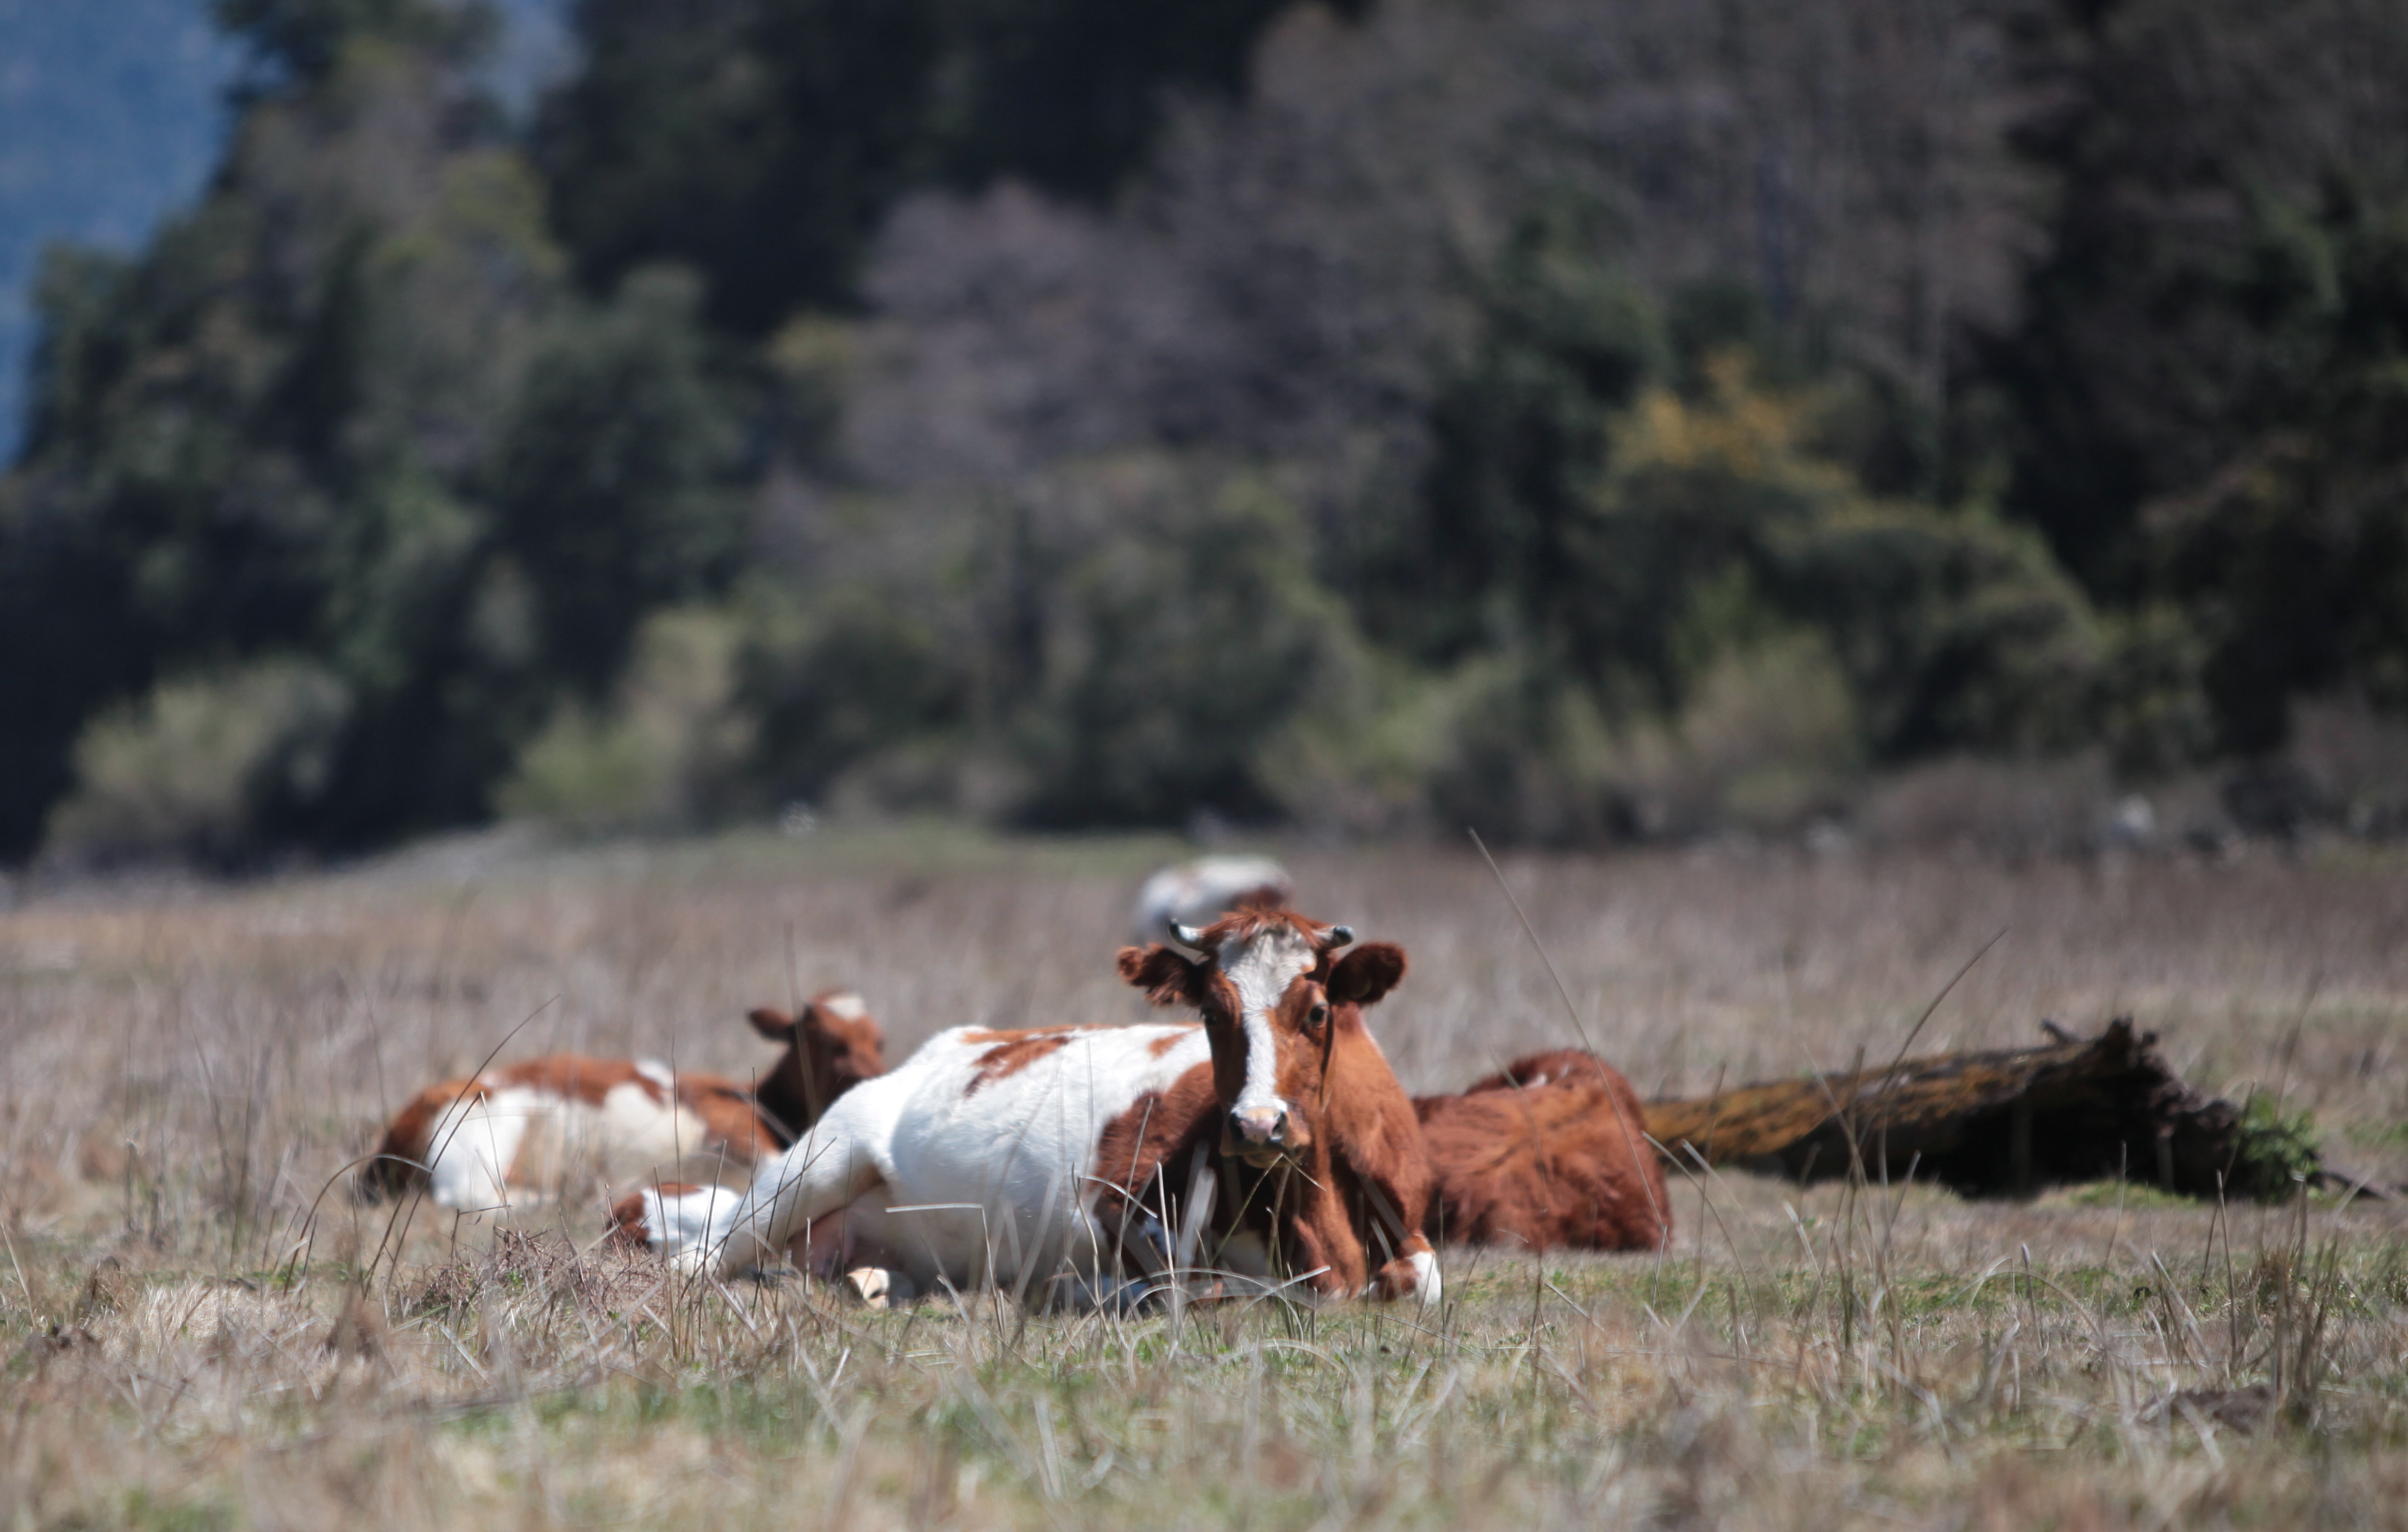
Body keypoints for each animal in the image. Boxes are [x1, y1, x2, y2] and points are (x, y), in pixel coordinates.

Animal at [360, 990, 887, 1213]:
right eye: (821, 1039)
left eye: (879, 1039)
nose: (871, 1079)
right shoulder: (735, 1136)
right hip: (482, 1130)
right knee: (468, 1195)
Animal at [619, 909, 1438, 1311]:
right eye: (1210, 1011)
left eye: (1319, 1011)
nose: (1258, 1124)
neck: (1315, 1219)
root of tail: (952, 1042)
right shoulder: (1114, 1208)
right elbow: (1179, 1285)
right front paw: (1083, 1288)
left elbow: (1419, 1281)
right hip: (818, 1162)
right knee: (703, 1255)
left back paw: (876, 1283)